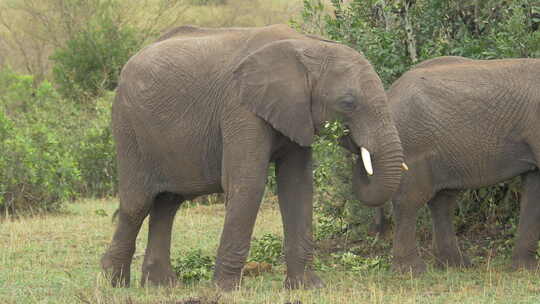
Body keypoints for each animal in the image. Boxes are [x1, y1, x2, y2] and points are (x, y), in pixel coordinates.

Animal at [102, 24, 404, 290]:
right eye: (348, 103)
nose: (359, 152)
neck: (309, 46)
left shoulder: (294, 113)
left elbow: (297, 186)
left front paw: (308, 287)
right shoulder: (239, 106)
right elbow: (247, 183)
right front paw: (225, 290)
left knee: (167, 204)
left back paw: (161, 285)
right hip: (128, 127)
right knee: (137, 204)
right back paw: (113, 283)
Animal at [344, 55, 540, 274]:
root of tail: (389, 93)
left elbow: (534, 189)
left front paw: (525, 269)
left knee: (442, 200)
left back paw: (454, 265)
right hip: (413, 144)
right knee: (411, 200)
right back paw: (413, 271)